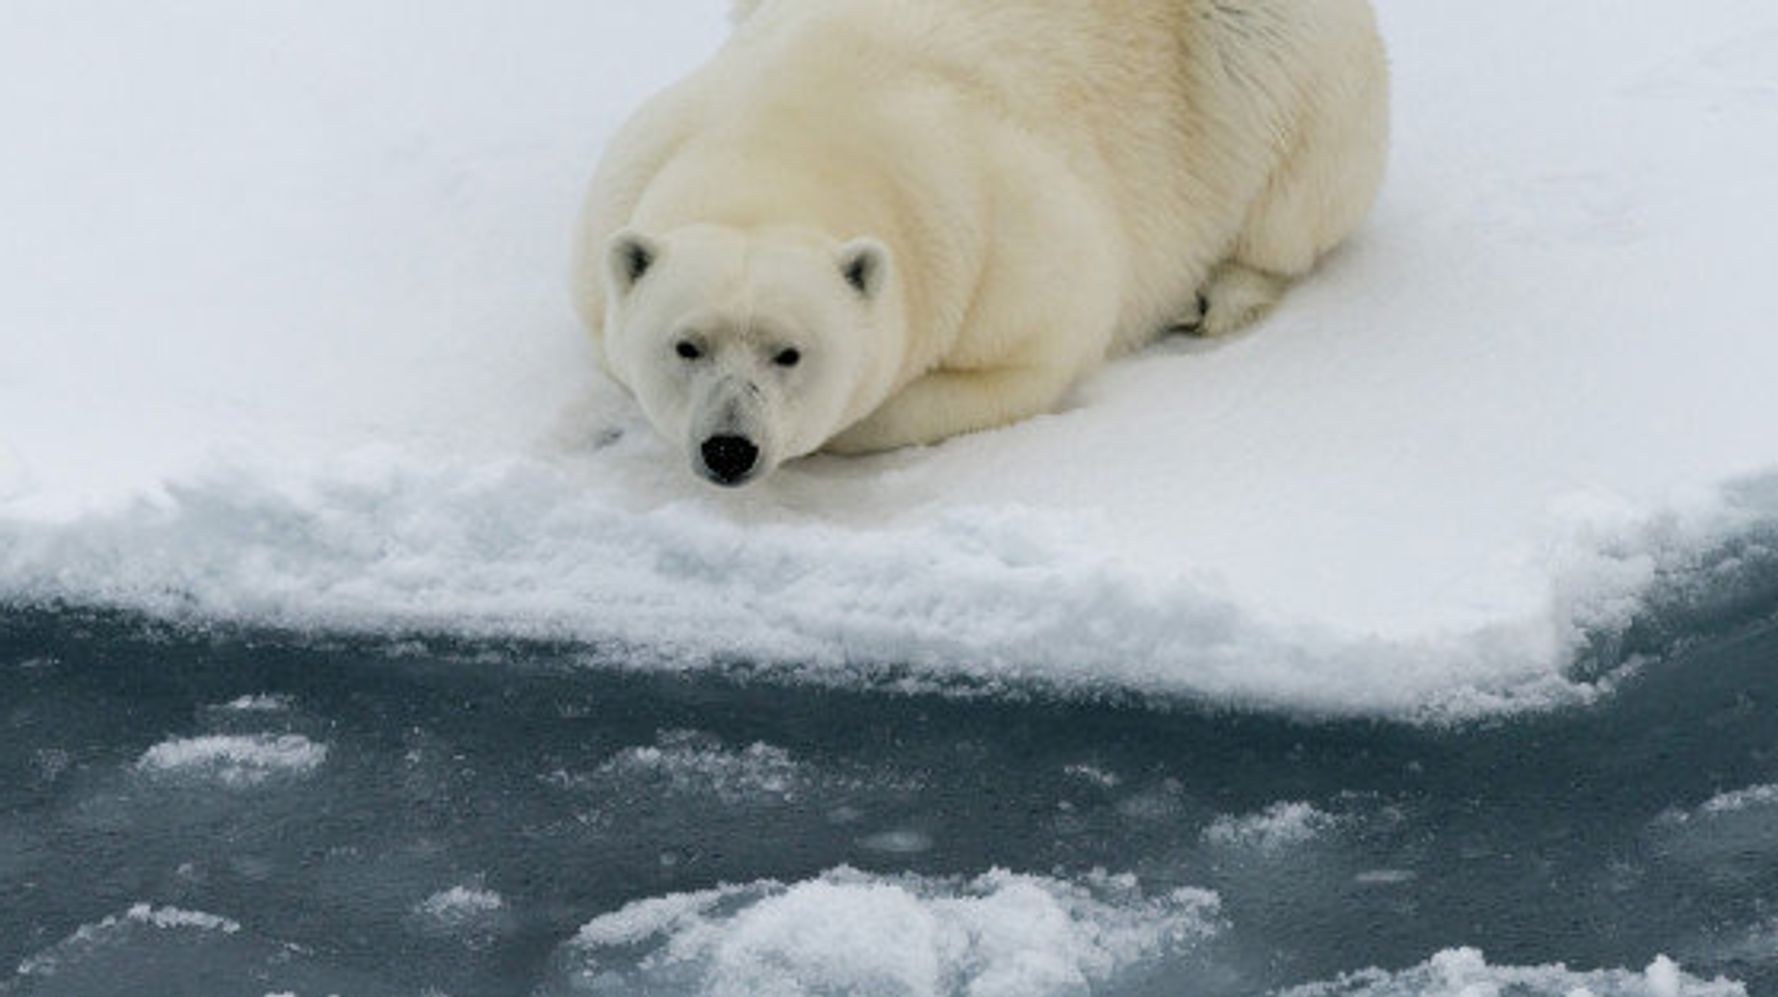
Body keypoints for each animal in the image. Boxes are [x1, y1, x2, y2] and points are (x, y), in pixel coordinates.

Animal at [576, 0, 1379, 486]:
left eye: (790, 353)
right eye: (686, 346)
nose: (729, 447)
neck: (789, 137)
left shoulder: (999, 232)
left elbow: (1026, 358)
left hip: (1261, 60)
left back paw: (1222, 294)